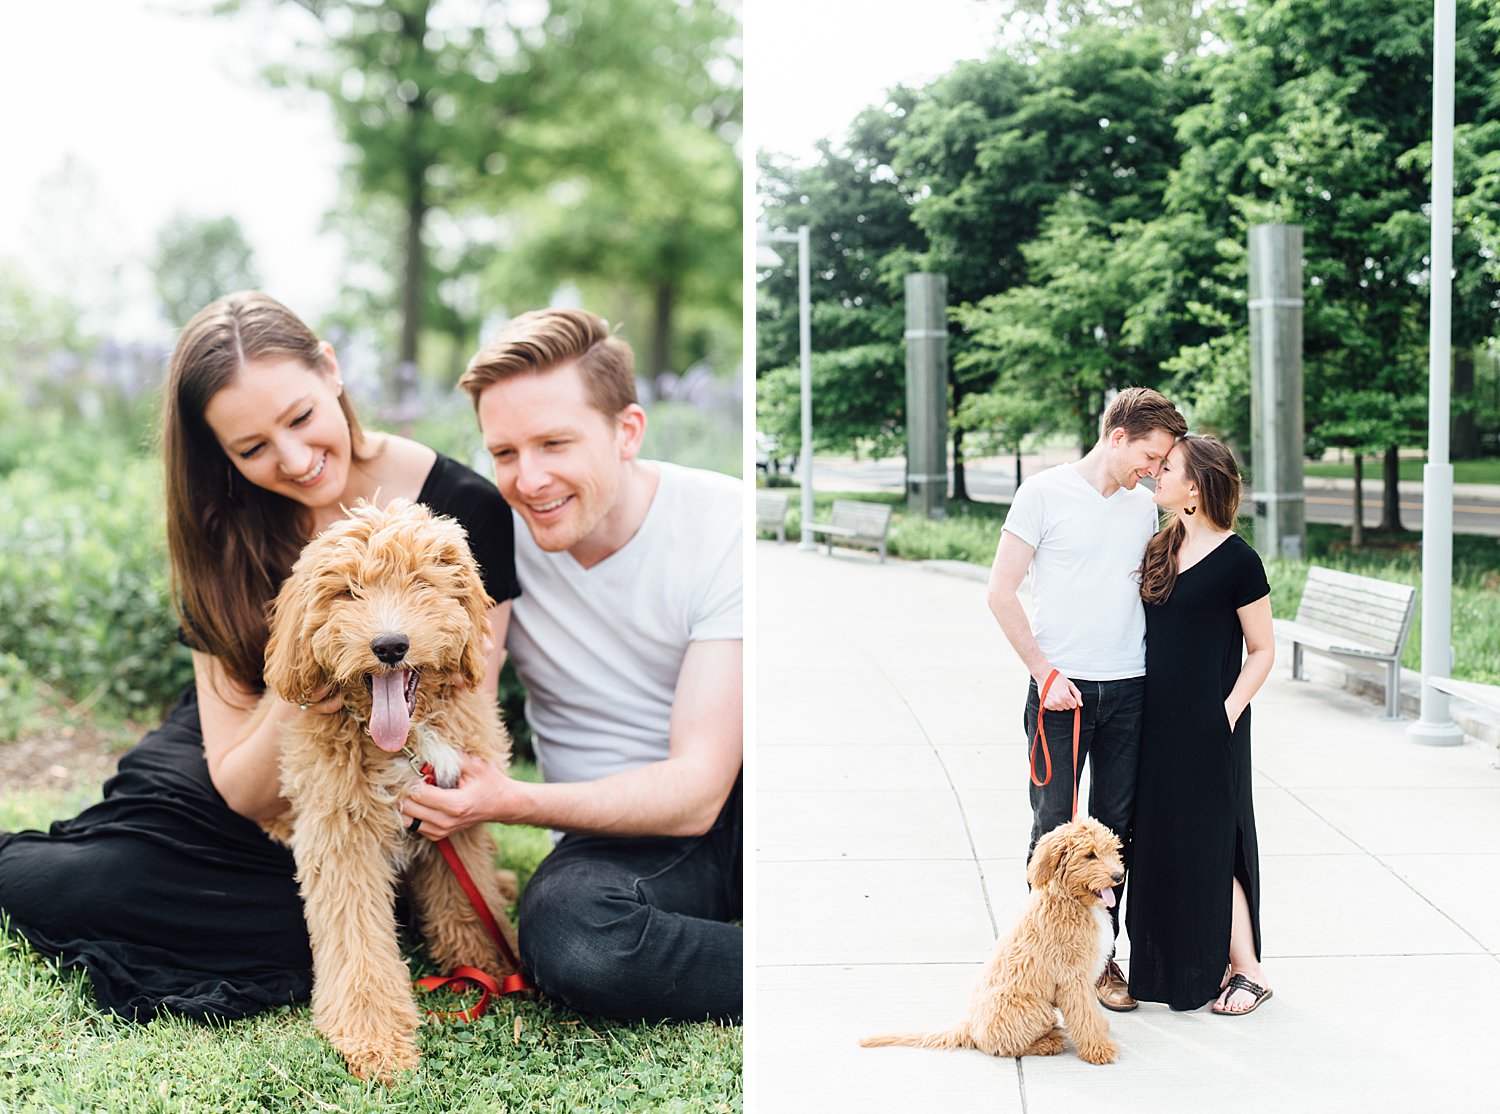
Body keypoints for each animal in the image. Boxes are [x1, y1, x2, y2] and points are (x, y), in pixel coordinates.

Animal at [255, 500, 519, 1085]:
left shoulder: (455, 818)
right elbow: (358, 944)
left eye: (420, 582)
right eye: (348, 591)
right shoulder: (340, 838)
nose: (390, 646)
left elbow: (466, 900)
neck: (407, 743)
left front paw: (488, 964)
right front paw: (375, 1040)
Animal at [864, 815, 1122, 1067]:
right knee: (1002, 1046)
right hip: (1034, 1007)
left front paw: (1100, 1029)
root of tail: (970, 1024)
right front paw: (1099, 1049)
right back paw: (1048, 1042)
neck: (1070, 899)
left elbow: (1090, 1011)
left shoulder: (1084, 976)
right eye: (1089, 855)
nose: (1119, 876)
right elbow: (1084, 1014)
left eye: (1111, 850)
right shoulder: (1072, 977)